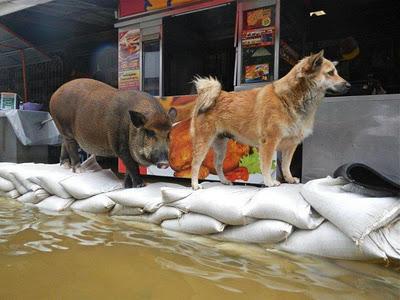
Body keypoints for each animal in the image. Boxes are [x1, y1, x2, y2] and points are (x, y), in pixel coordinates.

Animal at [191, 50, 350, 189]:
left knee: (218, 165)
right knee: (196, 164)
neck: (288, 98)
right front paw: (269, 182)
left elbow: (286, 165)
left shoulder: (291, 144)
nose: (349, 85)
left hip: (221, 145)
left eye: (335, 72)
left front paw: (289, 179)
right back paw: (195, 185)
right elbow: (266, 165)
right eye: (330, 73)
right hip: (203, 142)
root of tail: (215, 95)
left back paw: (224, 181)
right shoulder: (270, 142)